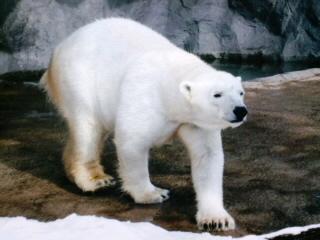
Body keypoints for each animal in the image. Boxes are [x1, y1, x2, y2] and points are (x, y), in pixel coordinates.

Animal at [40, 17, 248, 232]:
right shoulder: (145, 95)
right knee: (88, 128)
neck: (171, 88)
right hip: (79, 81)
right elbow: (132, 142)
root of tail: (60, 47)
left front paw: (217, 220)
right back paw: (96, 180)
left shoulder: (195, 122)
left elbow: (207, 157)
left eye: (240, 92)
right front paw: (155, 194)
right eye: (217, 94)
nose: (240, 110)